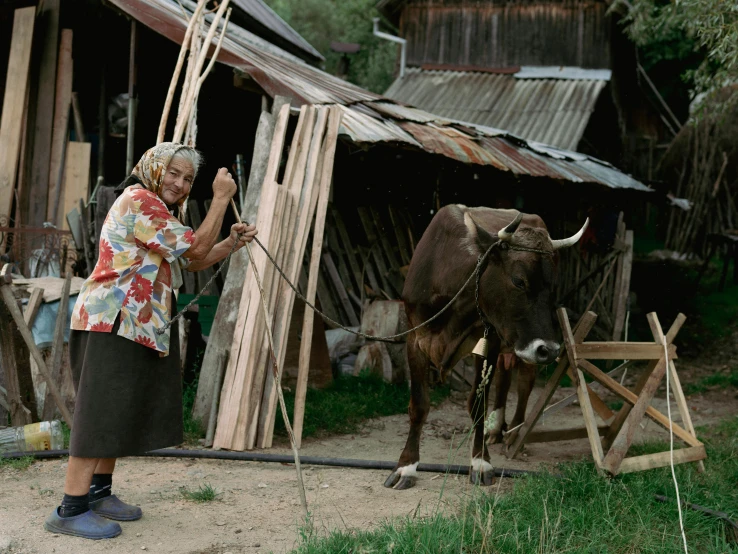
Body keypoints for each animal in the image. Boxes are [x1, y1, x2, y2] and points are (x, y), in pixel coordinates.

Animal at [382, 204, 584, 488]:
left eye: (552, 286)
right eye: (518, 280)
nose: (550, 349)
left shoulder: (489, 341)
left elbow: (477, 404)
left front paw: (480, 462)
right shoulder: (415, 339)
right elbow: (419, 404)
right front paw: (406, 466)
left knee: (524, 383)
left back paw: (514, 433)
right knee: (505, 378)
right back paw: (496, 429)